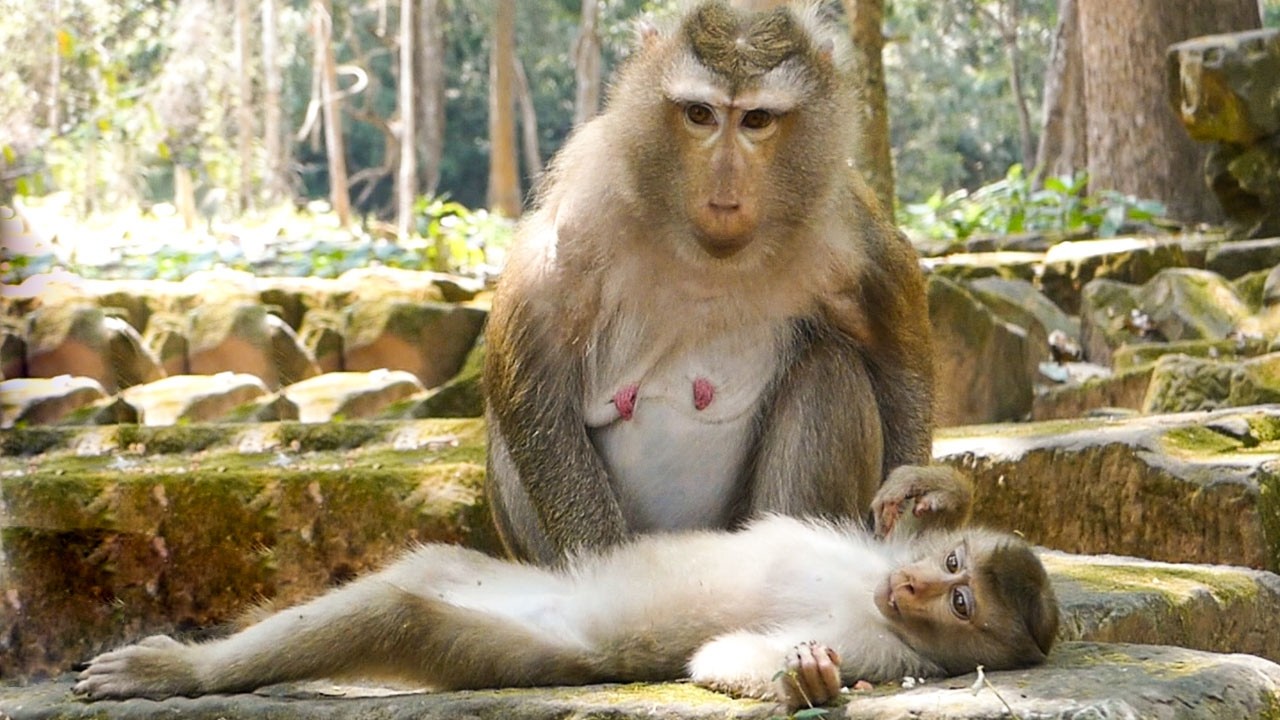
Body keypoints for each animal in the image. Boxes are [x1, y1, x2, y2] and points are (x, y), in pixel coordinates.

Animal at [482, 0, 935, 565]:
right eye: (700, 114)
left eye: (756, 120)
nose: (723, 183)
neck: (708, 251)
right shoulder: (588, 203)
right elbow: (534, 371)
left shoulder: (843, 227)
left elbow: (895, 351)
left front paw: (914, 508)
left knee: (831, 368)